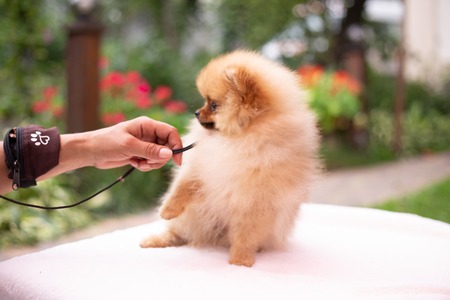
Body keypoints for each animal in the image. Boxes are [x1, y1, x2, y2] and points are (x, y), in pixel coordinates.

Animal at [141, 49, 320, 268]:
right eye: (205, 101)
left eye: (214, 105)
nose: (196, 112)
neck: (236, 139)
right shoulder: (203, 166)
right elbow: (183, 186)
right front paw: (167, 210)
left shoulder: (255, 202)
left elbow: (246, 234)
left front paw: (240, 261)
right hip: (192, 218)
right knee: (177, 233)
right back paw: (155, 240)